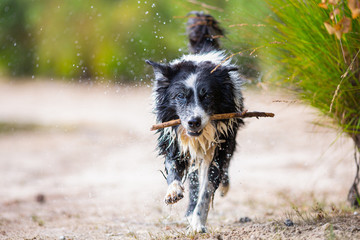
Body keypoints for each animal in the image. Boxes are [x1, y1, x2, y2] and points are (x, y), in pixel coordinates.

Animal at [146, 11, 245, 232]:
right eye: (180, 96)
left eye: (207, 96)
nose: (193, 122)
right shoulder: (174, 141)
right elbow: (174, 169)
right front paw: (173, 192)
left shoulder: (220, 144)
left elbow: (207, 189)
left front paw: (198, 223)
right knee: (192, 181)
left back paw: (222, 188)